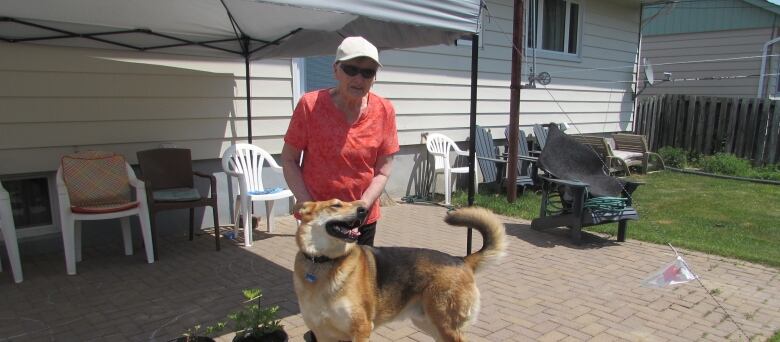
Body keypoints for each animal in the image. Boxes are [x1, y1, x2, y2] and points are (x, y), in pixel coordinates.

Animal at [292, 199, 506, 340]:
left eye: (354, 203)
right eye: (336, 205)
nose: (363, 210)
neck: (322, 262)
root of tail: (461, 260)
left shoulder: (361, 330)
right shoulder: (323, 334)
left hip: (445, 325)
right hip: (429, 323)